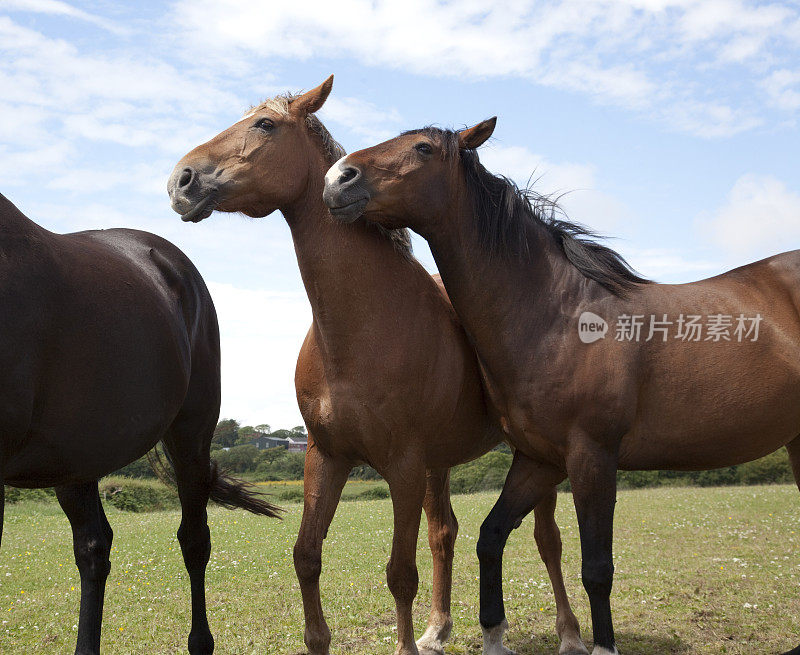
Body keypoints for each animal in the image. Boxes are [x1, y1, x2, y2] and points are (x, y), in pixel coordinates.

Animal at [164, 78, 588, 655]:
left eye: (265, 125)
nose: (181, 180)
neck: (364, 326)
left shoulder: (403, 466)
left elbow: (399, 572)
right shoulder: (326, 457)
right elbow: (306, 556)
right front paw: (322, 639)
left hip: (529, 459)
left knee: (548, 539)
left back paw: (569, 634)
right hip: (442, 464)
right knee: (445, 533)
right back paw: (438, 627)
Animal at [322, 119, 800, 655]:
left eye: (423, 148)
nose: (337, 178)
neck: (558, 316)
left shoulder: (592, 458)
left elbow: (597, 568)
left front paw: (601, 645)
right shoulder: (539, 459)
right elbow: (491, 536)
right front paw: (494, 633)